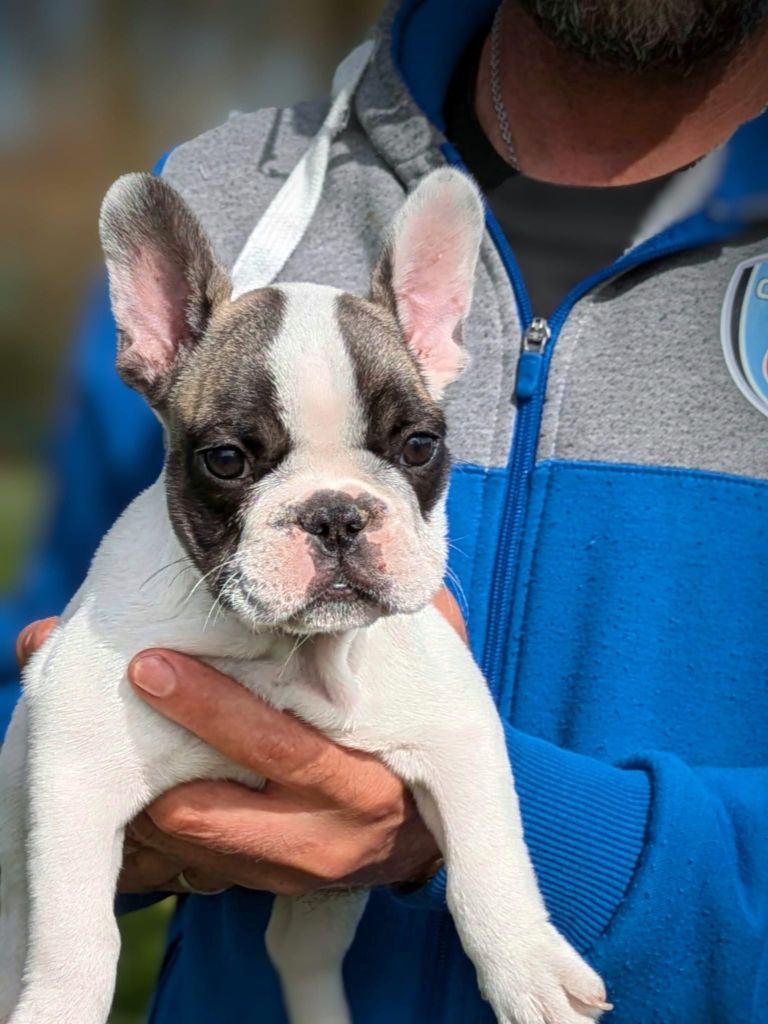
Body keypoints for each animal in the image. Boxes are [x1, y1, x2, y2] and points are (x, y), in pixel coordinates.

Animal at [0, 167, 610, 1024]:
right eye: (227, 459)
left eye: (419, 446)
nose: (335, 513)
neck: (287, 653)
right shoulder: (76, 762)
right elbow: (75, 937)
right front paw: (58, 1006)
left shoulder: (459, 727)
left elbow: (493, 856)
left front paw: (529, 965)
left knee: (300, 955)